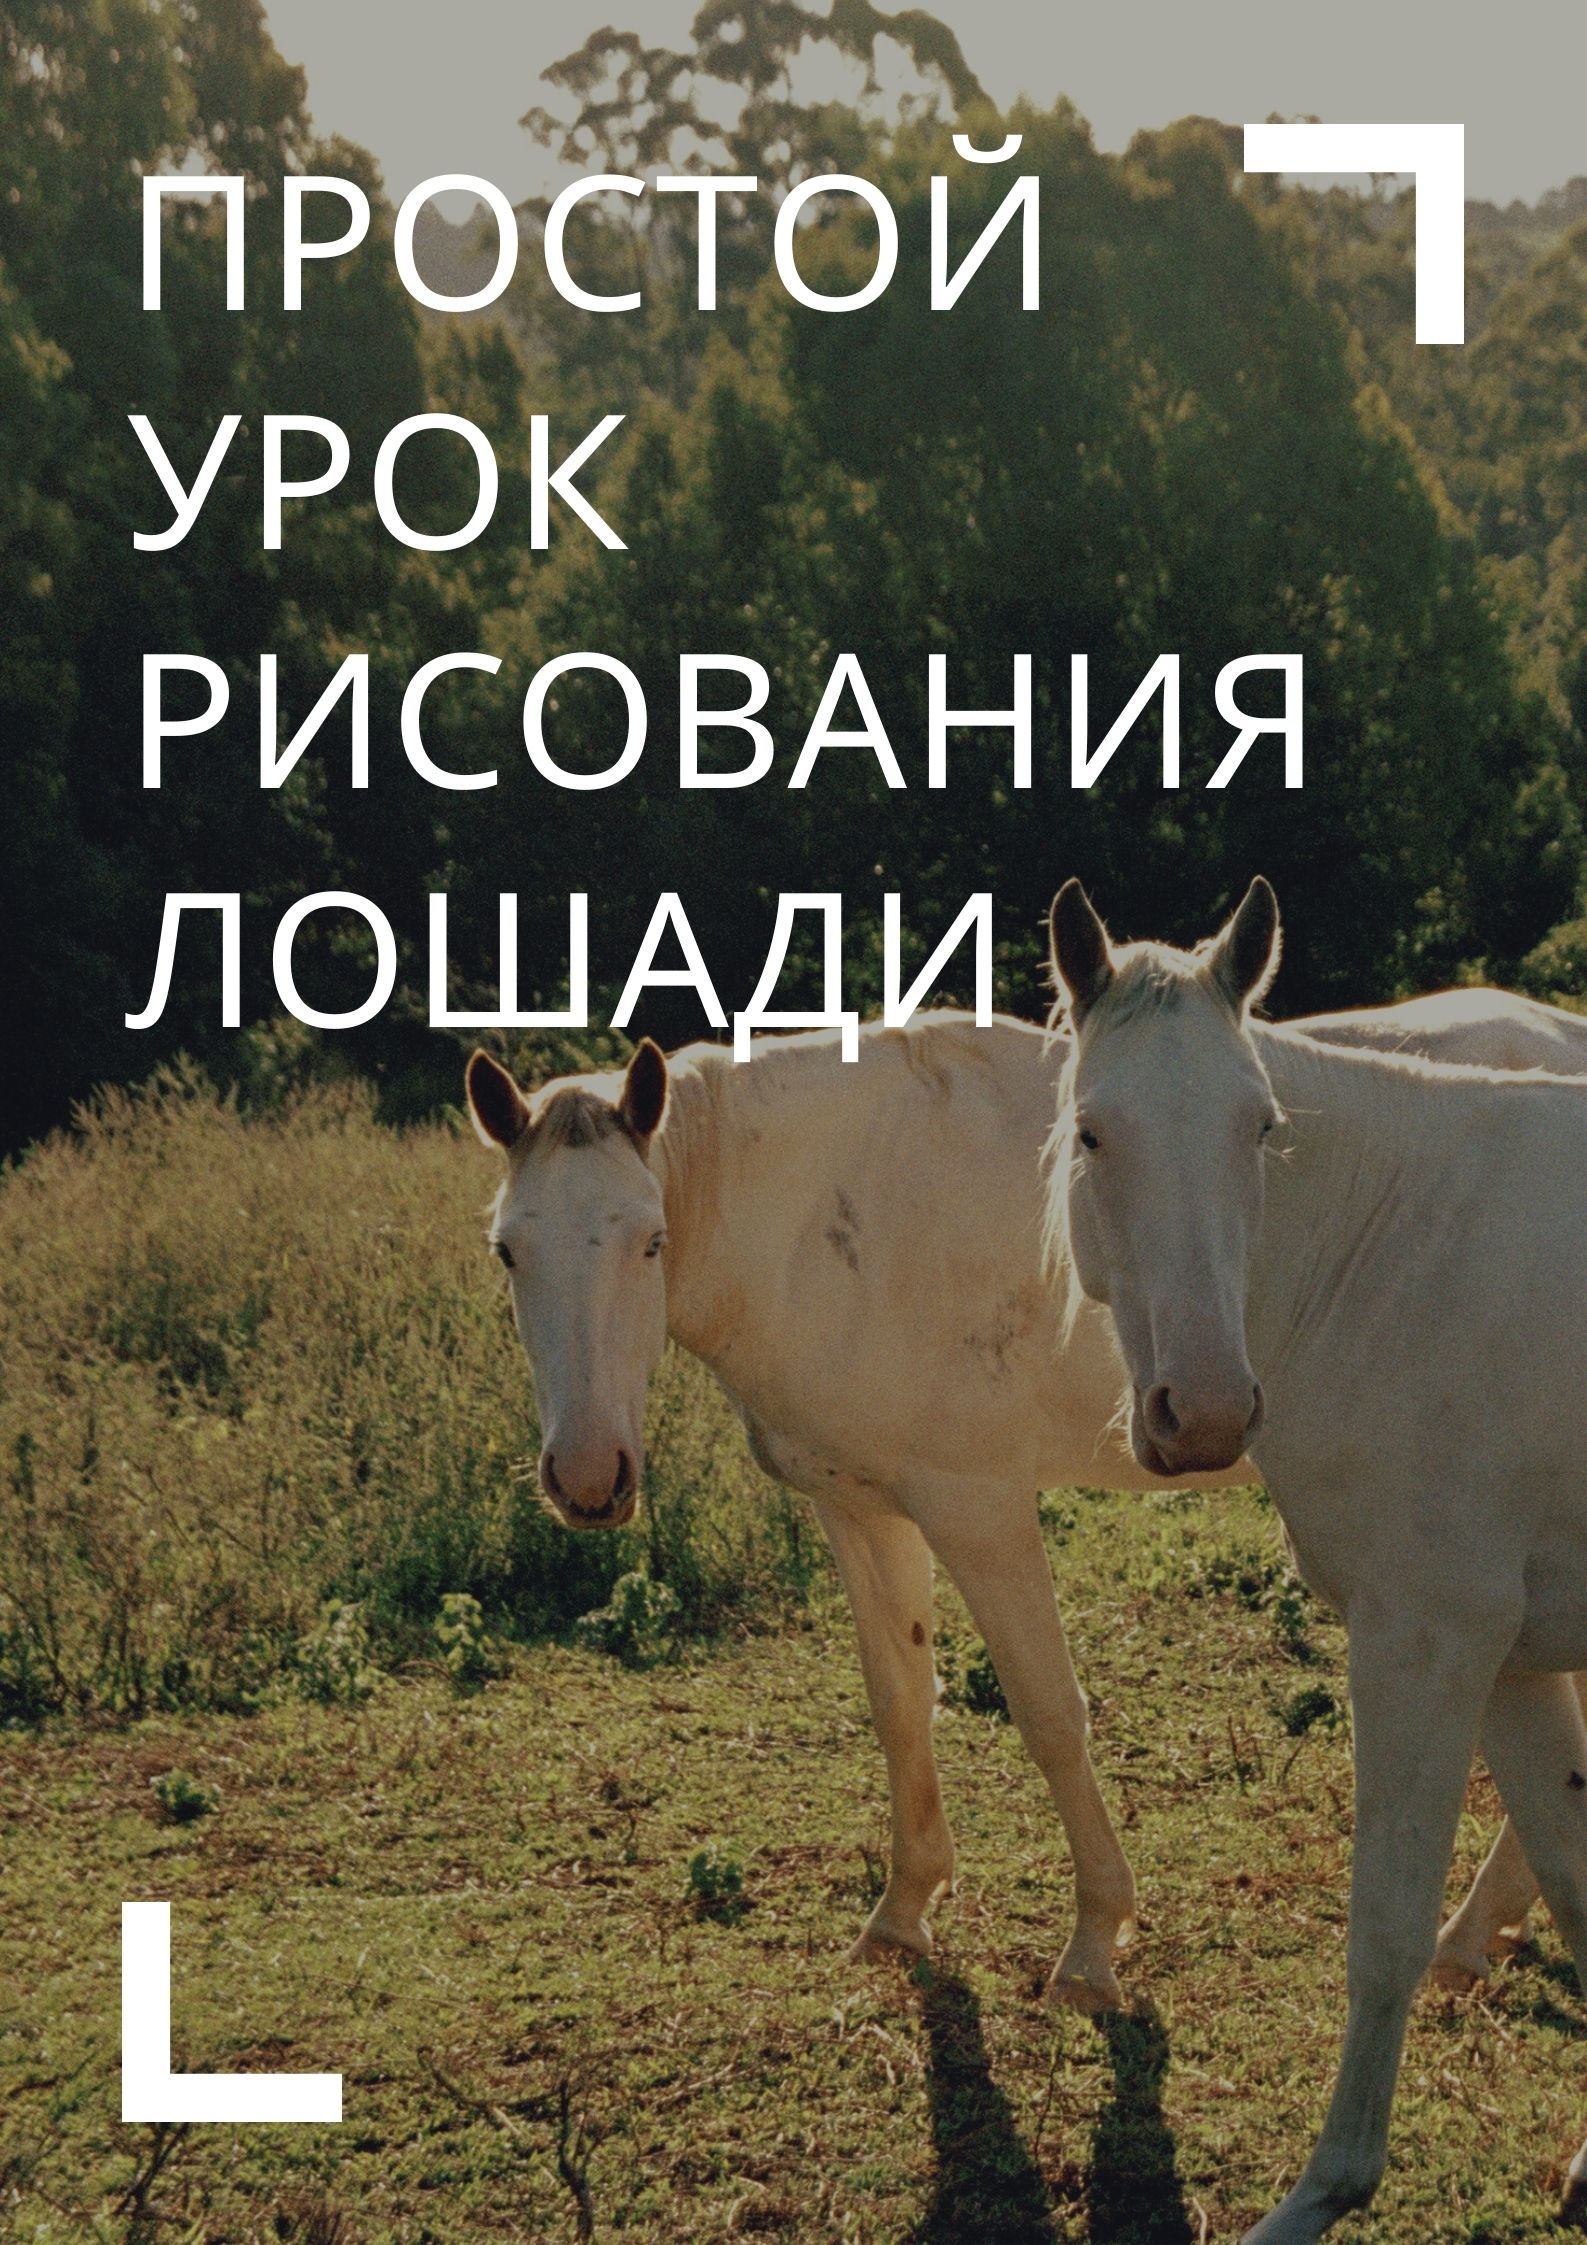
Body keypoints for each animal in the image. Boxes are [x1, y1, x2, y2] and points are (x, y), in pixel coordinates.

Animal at [465, 984, 1585, 2016]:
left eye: (649, 1240)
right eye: (508, 1249)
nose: (588, 1477)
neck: (832, 1216)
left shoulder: (980, 1509)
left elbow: (1048, 1712)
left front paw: (1094, 1941)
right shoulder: (860, 1507)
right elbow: (899, 1702)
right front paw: (902, 1912)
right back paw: (1481, 1930)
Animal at [1046, 877, 1587, 2241]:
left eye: (1262, 1127)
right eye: (1093, 1134)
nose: (1207, 1413)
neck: (1399, 1262)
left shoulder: (1427, 1647)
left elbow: (1383, 1932)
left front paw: (1327, 2187)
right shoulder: (1510, 1663)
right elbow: (1575, 1877)